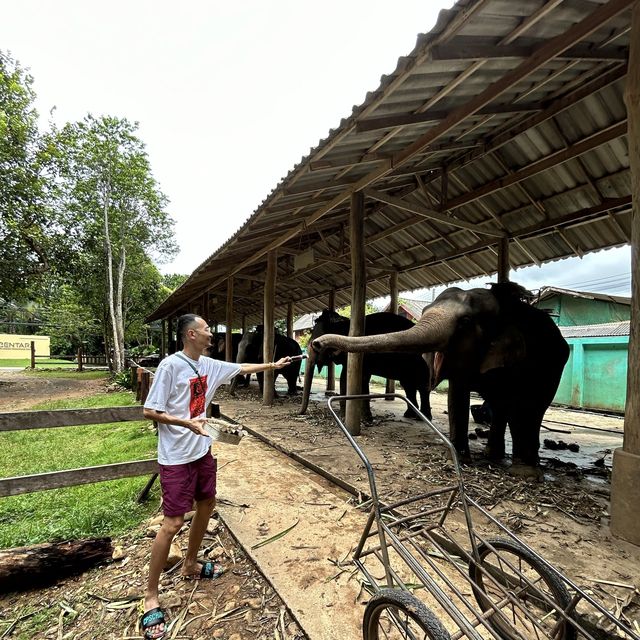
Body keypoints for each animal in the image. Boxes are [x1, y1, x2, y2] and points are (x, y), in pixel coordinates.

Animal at [302, 310, 432, 420]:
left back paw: (424, 417)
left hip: (416, 362)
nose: (301, 413)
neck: (345, 322)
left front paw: (363, 418)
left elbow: (358, 379)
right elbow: (348, 379)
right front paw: (355, 417)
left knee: (422, 385)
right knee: (408, 385)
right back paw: (410, 415)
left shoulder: (363, 355)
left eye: (316, 345)